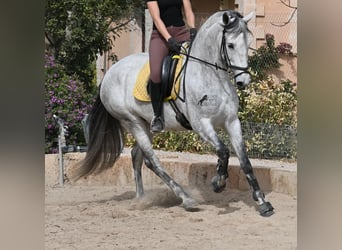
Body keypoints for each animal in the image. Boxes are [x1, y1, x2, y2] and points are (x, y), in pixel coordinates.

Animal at [75, 10, 276, 217]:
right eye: (230, 45)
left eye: (248, 43)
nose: (243, 81)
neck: (209, 75)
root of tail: (109, 74)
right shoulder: (202, 124)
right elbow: (224, 151)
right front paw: (218, 182)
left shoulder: (232, 121)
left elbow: (244, 161)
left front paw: (263, 203)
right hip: (132, 122)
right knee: (152, 160)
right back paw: (186, 198)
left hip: (146, 124)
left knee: (137, 156)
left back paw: (141, 198)